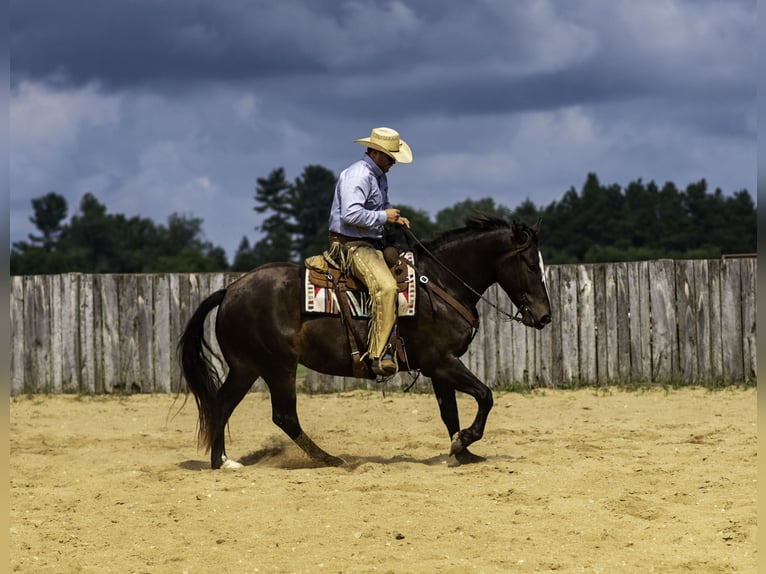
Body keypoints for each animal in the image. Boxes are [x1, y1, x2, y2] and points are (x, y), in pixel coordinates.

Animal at [180, 218, 552, 470]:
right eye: (531, 265)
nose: (545, 316)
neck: (440, 284)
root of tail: (230, 290)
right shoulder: (442, 361)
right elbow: (485, 396)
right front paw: (465, 441)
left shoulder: (439, 367)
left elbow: (449, 411)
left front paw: (463, 452)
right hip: (277, 367)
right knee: (284, 416)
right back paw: (329, 459)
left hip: (246, 367)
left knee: (222, 403)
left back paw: (222, 461)